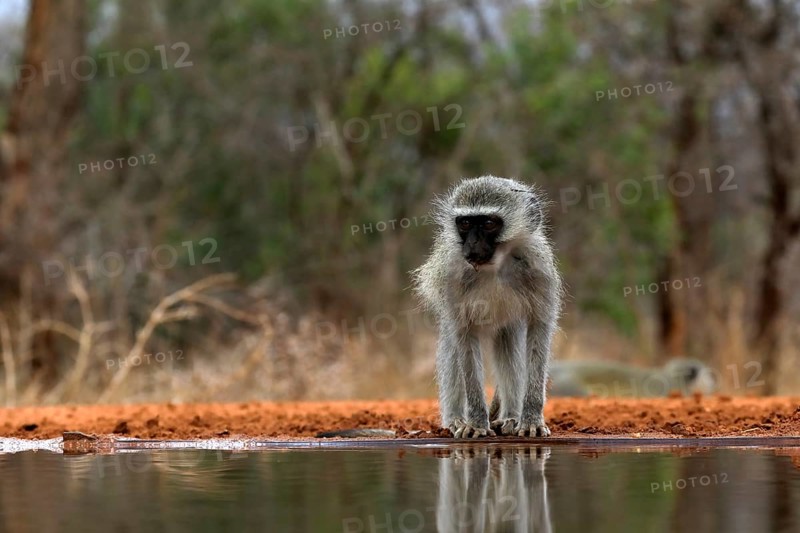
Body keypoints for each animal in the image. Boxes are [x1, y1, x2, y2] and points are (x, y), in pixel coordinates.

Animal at [412, 176, 562, 439]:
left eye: (489, 223)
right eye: (465, 223)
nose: (471, 245)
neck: (495, 266)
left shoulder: (539, 270)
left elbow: (539, 330)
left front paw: (531, 418)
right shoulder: (453, 277)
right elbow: (463, 337)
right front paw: (475, 423)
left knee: (508, 342)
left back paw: (511, 417)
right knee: (452, 346)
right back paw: (456, 420)